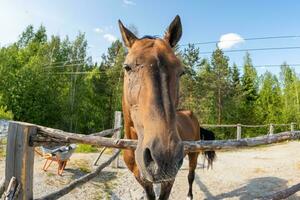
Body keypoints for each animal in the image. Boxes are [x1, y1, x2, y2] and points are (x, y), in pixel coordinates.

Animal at [119, 16, 216, 200]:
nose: (165, 157)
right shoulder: (143, 180)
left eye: (181, 72)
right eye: (127, 67)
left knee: (191, 175)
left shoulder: (168, 180)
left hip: (193, 154)